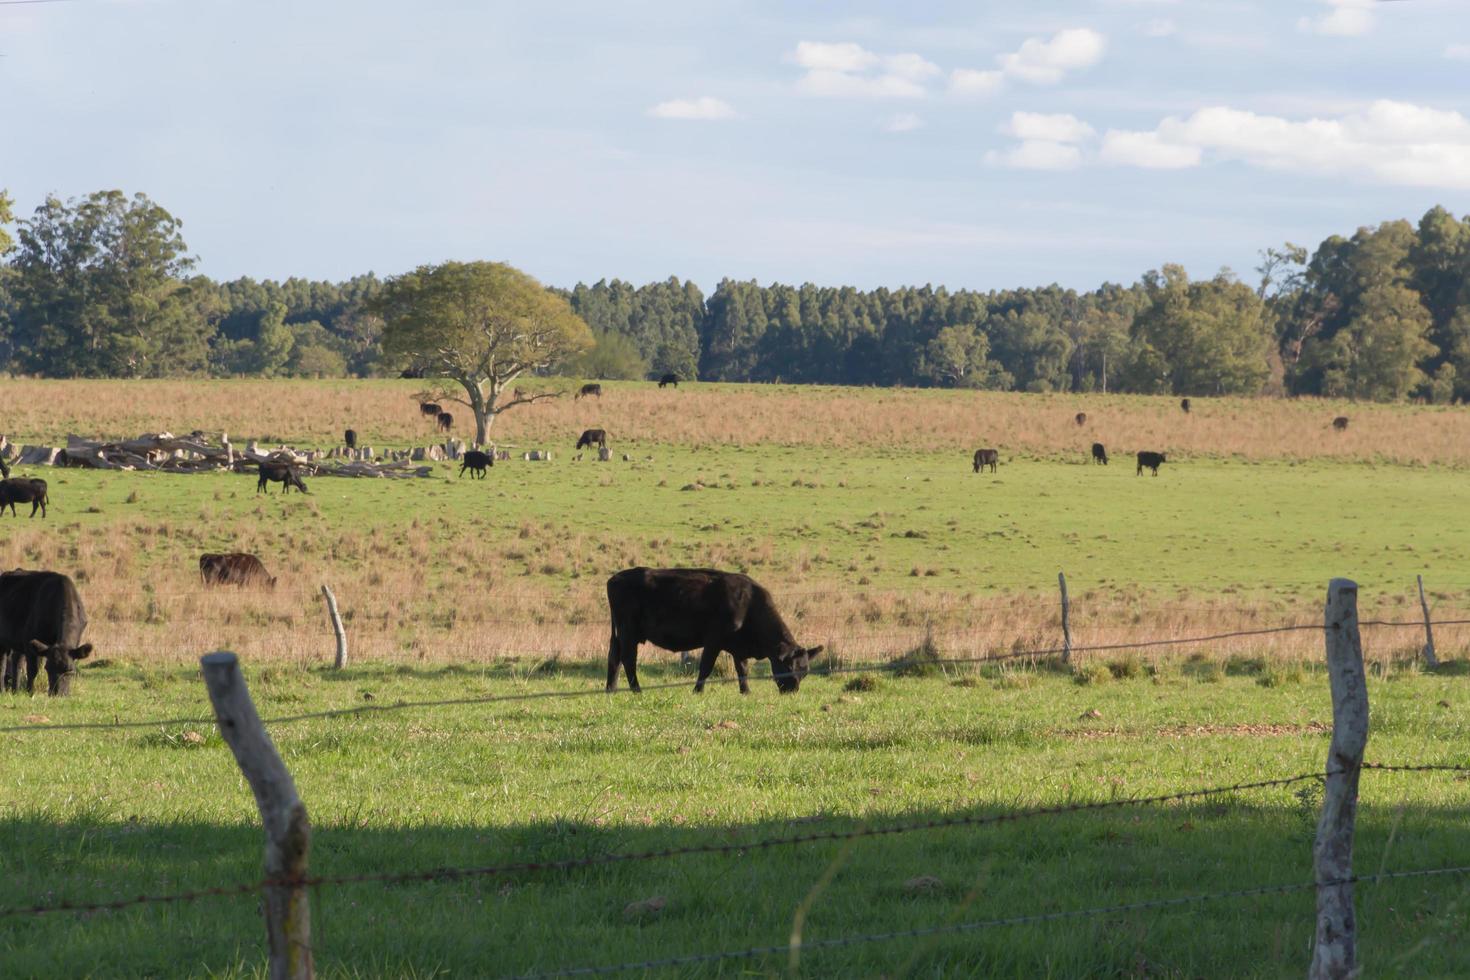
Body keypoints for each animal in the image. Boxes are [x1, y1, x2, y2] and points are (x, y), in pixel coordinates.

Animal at [0, 567, 92, 696]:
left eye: (69, 670)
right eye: (48, 668)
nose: (57, 693)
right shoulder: (30, 640)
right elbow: (32, 670)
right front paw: (30, 692)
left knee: (16, 661)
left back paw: (15, 690)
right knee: (2, 664)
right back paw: (3, 690)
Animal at [599, 567, 829, 696]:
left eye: (805, 672)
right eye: (788, 667)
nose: (792, 691)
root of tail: (615, 578)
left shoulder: (738, 647)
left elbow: (742, 669)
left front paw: (746, 691)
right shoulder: (714, 640)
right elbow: (706, 667)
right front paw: (697, 691)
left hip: (620, 633)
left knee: (614, 657)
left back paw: (611, 689)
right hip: (628, 631)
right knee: (628, 659)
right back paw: (636, 690)